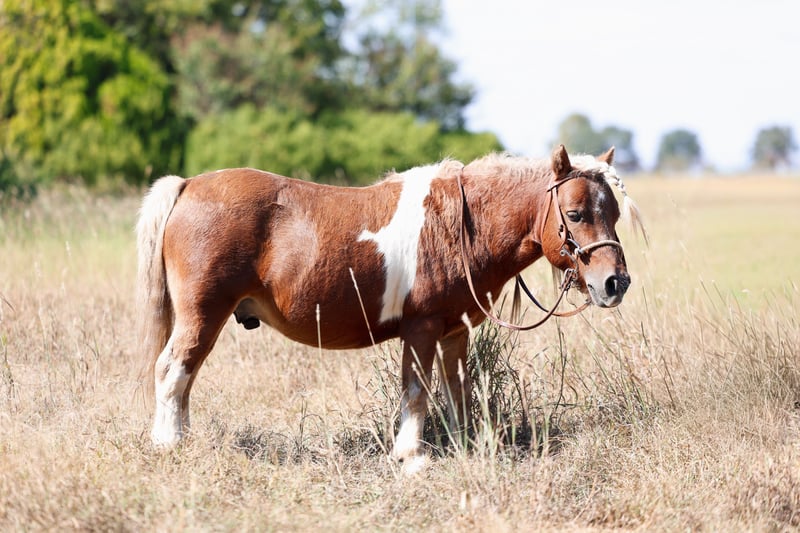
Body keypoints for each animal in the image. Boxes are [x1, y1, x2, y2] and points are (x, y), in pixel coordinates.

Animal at [136, 144, 641, 471]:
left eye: (614, 213)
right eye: (575, 214)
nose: (615, 282)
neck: (460, 226)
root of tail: (188, 186)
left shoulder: (455, 331)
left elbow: (458, 391)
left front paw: (466, 446)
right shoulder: (421, 329)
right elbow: (416, 392)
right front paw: (411, 456)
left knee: (184, 375)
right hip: (204, 314)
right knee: (172, 369)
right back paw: (168, 444)